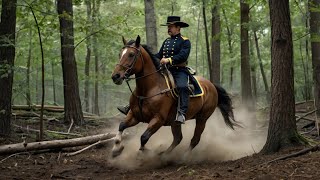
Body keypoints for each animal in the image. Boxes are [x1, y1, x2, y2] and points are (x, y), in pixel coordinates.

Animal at [111, 35, 239, 158]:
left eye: (131, 54)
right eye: (119, 54)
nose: (115, 76)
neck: (148, 89)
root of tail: (212, 85)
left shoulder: (158, 119)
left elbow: (144, 137)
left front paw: (145, 153)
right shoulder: (134, 115)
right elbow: (122, 126)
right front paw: (116, 149)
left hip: (202, 118)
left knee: (195, 140)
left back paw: (183, 157)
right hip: (175, 122)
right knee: (178, 139)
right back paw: (164, 155)